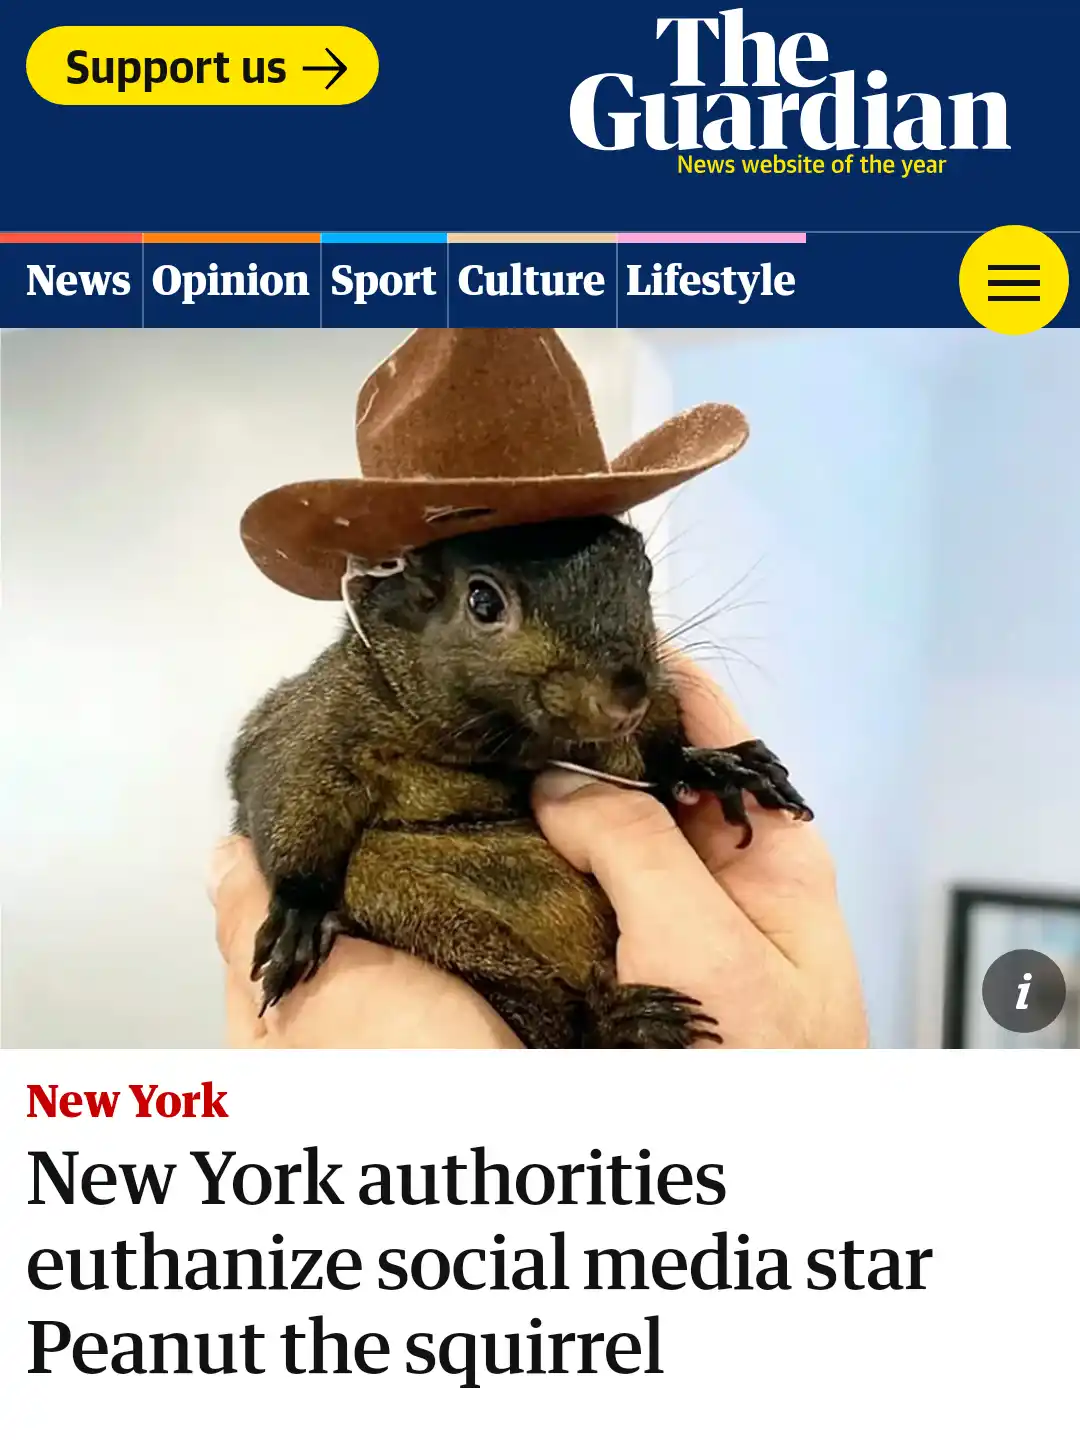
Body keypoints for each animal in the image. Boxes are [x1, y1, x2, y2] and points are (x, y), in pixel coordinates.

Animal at [228, 514, 811, 1048]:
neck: (508, 744)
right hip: (407, 899)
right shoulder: (319, 719)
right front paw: (300, 911)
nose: (627, 696)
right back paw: (616, 1025)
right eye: (483, 602)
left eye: (643, 570)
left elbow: (659, 755)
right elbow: (288, 783)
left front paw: (710, 765)